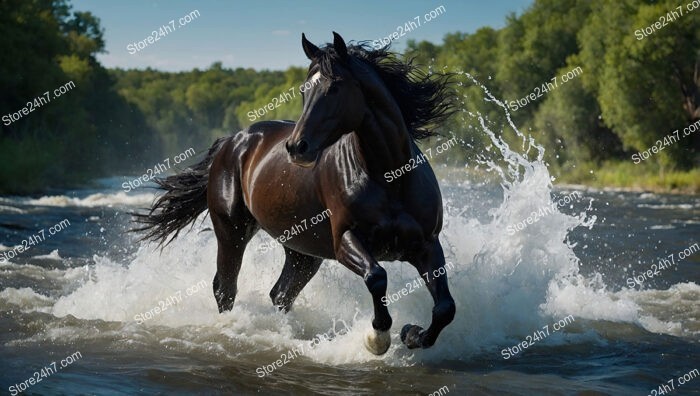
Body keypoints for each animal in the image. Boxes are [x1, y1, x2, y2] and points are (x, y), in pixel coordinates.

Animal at [135, 31, 456, 352]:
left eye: (335, 86)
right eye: (304, 89)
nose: (296, 147)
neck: (390, 179)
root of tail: (233, 141)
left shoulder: (426, 245)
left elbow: (445, 308)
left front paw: (412, 334)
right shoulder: (346, 241)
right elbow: (377, 277)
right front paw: (377, 339)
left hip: (302, 251)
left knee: (280, 294)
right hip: (232, 232)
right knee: (225, 288)